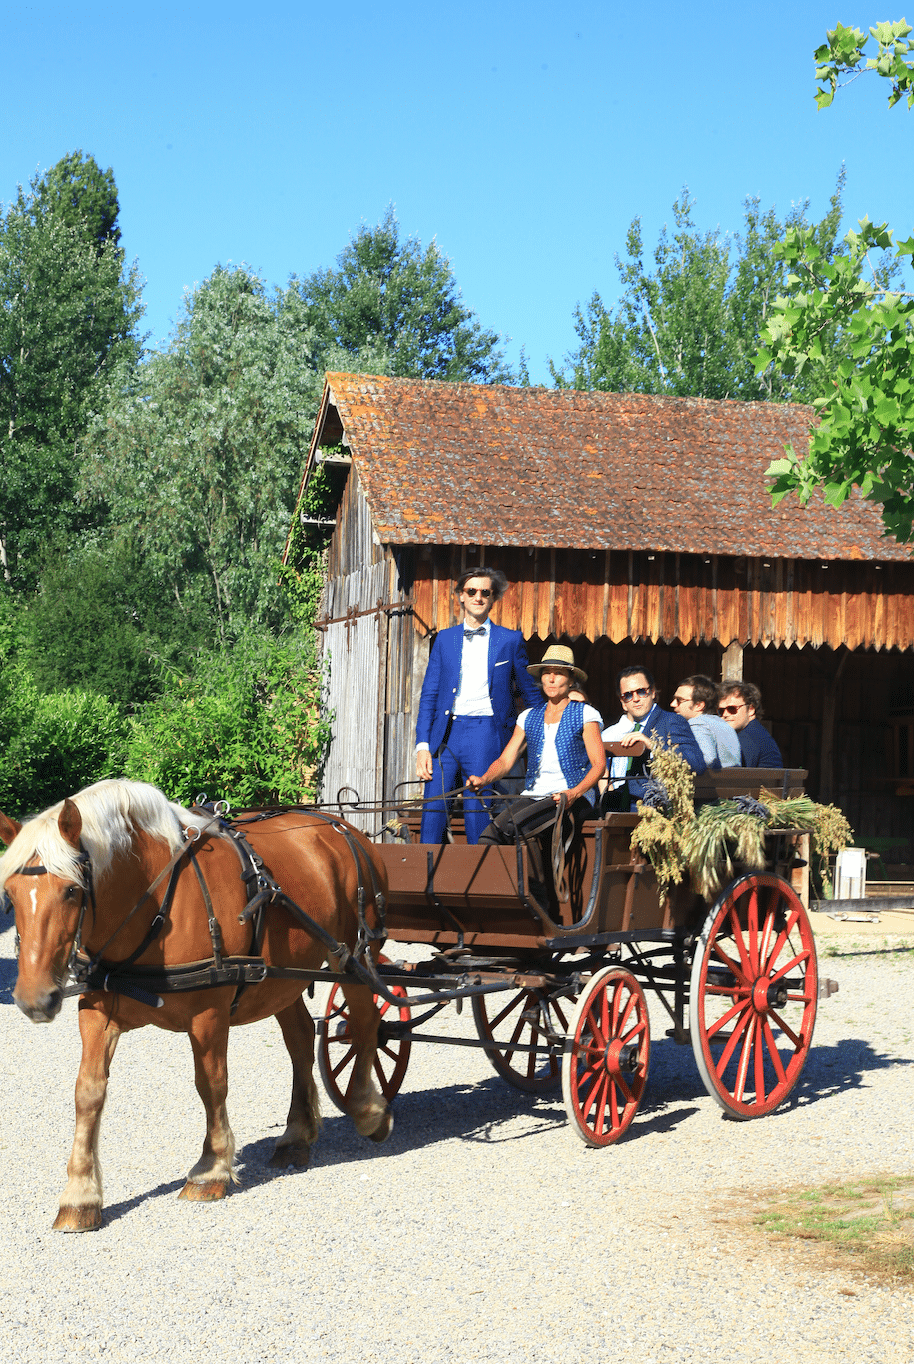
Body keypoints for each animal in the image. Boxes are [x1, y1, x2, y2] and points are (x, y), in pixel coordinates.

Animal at [0, 780, 392, 1238]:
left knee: (365, 1024)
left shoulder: (209, 1014)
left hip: (356, 959)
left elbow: (211, 1084)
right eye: (10, 894)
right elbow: (88, 1092)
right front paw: (80, 1195)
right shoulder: (97, 1010)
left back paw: (368, 1109)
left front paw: (211, 1169)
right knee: (299, 1039)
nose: (34, 999)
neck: (153, 904)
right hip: (281, 977)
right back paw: (296, 1134)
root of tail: (345, 827)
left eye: (71, 890)